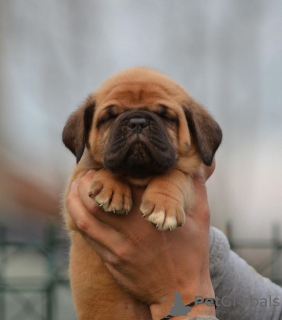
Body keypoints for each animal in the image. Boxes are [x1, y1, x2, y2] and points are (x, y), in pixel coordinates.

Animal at [62, 66, 223, 318]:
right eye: (109, 117)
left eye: (166, 116)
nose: (137, 122)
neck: (139, 175)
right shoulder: (76, 186)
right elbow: (104, 167)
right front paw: (111, 187)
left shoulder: (189, 173)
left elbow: (173, 174)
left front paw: (164, 208)